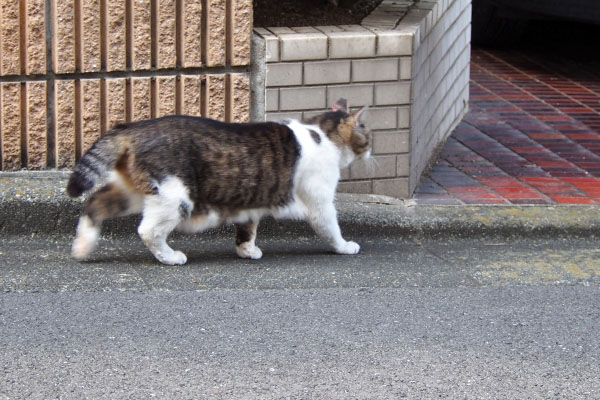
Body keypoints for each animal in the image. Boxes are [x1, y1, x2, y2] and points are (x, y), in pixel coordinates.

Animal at [68, 98, 372, 264]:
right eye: (368, 135)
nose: (372, 150)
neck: (322, 133)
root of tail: (132, 128)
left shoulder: (251, 202)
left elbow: (248, 229)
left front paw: (247, 251)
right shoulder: (320, 202)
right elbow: (331, 228)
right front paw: (345, 247)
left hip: (131, 192)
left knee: (94, 204)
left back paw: (82, 248)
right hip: (174, 197)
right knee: (148, 231)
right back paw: (171, 257)